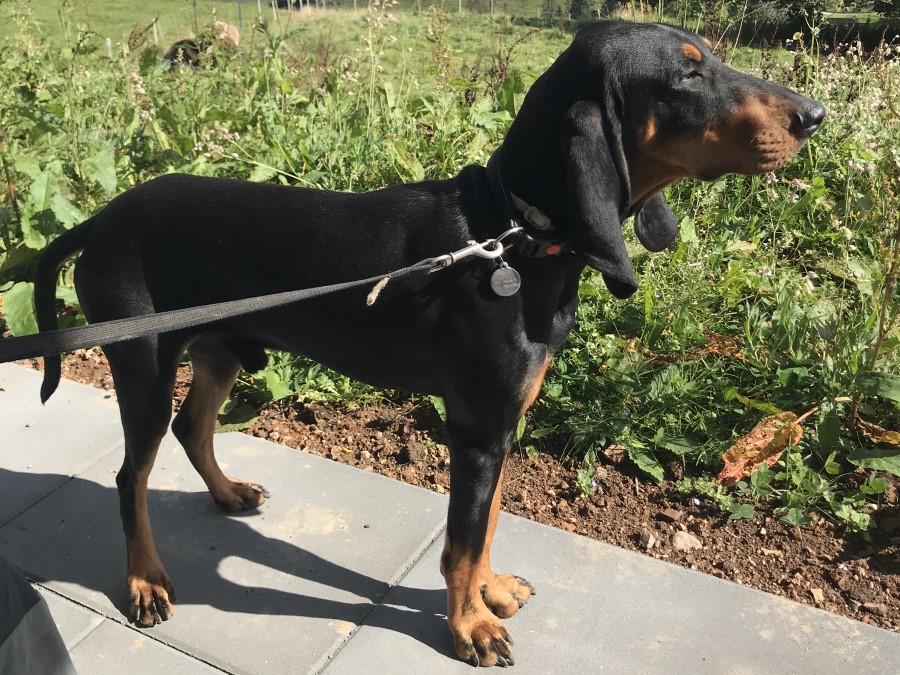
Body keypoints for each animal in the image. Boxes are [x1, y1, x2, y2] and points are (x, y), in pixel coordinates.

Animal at [33, 21, 823, 667]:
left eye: (711, 58)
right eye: (686, 76)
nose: (813, 115)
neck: (513, 233)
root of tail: (99, 219)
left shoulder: (502, 427)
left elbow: (489, 523)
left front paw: (492, 593)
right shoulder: (475, 427)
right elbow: (459, 542)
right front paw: (469, 627)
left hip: (223, 347)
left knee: (194, 427)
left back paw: (228, 493)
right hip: (142, 363)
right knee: (130, 477)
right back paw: (145, 581)